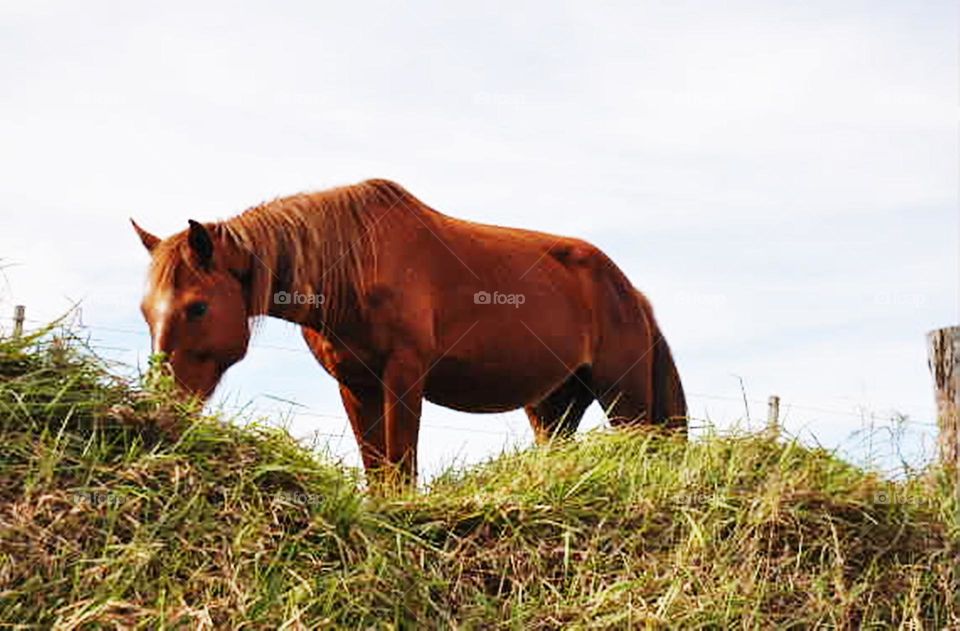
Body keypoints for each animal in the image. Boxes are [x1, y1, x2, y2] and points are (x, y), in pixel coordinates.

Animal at [131, 179, 686, 484]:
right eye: (145, 310)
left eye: (198, 307)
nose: (164, 404)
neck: (355, 266)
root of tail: (631, 294)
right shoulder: (355, 385)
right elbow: (377, 468)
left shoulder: (404, 378)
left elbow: (402, 466)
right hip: (555, 405)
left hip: (624, 397)